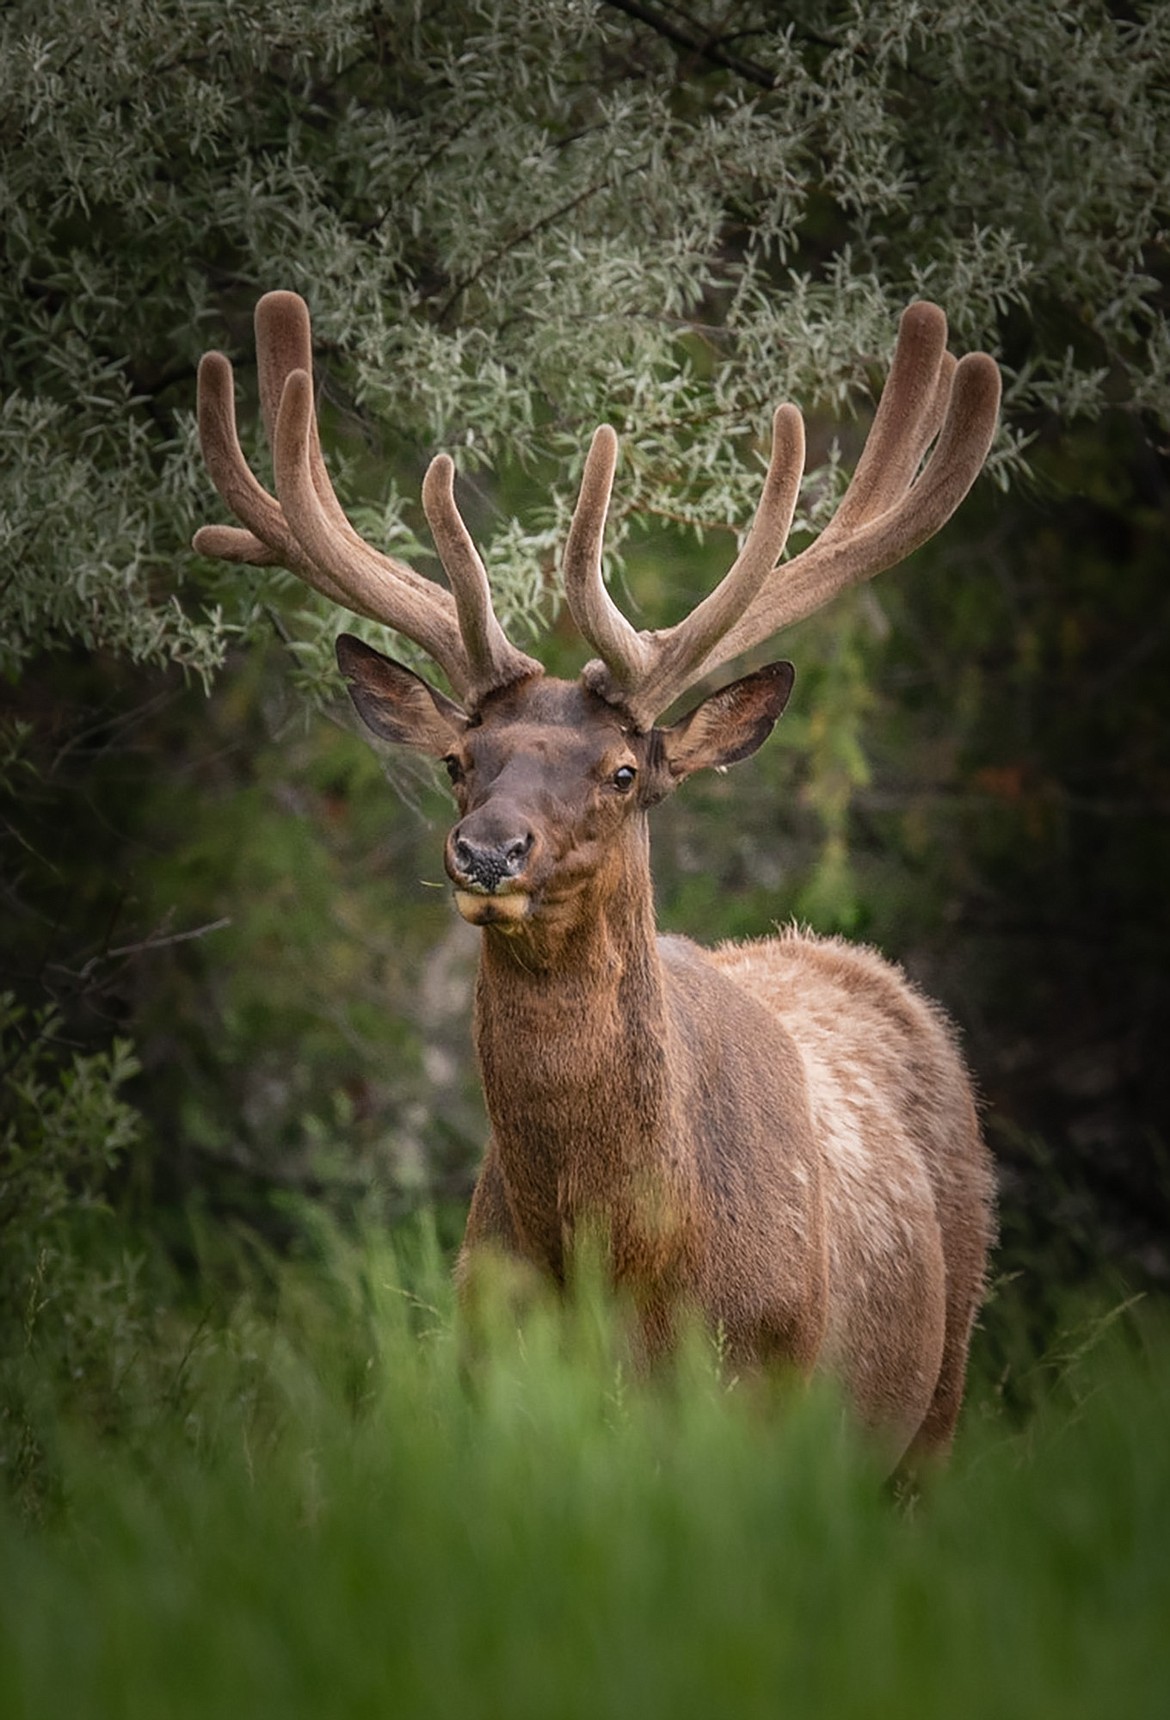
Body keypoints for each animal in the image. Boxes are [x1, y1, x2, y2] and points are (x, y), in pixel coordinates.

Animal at [191, 288, 997, 1458]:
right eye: (457, 761)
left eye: (623, 772)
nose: (487, 851)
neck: (617, 1267)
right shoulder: (486, 1372)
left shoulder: (769, 1402)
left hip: (937, 1397)